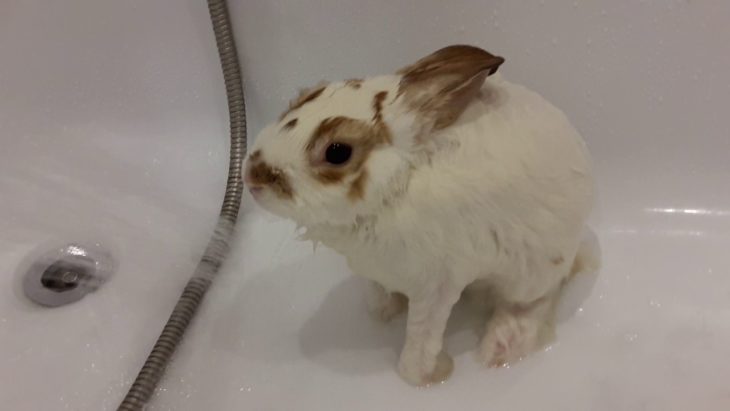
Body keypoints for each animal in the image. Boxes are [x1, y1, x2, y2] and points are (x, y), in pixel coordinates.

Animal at [244, 45, 593, 386]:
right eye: (301, 98)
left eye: (338, 152)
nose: (253, 176)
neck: (397, 181)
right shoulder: (377, 271)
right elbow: (376, 296)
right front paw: (385, 311)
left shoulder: (436, 285)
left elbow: (421, 339)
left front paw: (428, 375)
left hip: (532, 272)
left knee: (537, 300)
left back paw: (501, 345)